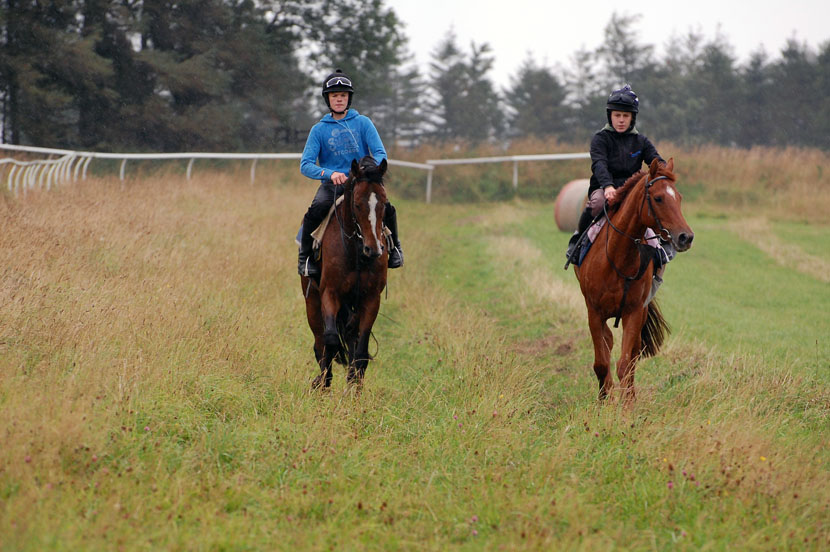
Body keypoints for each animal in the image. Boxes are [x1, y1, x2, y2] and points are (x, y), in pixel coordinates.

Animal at [300, 156, 389, 390]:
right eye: (357, 204)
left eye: (384, 204)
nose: (373, 249)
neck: (356, 252)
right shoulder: (329, 293)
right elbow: (330, 341)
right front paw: (323, 382)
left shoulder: (371, 299)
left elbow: (361, 352)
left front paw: (353, 391)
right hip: (312, 302)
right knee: (320, 342)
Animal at [573, 158, 694, 401]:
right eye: (658, 198)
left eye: (679, 197)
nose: (686, 237)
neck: (618, 258)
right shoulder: (594, 312)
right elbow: (601, 363)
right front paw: (604, 401)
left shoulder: (634, 312)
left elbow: (625, 364)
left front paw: (628, 405)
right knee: (608, 343)